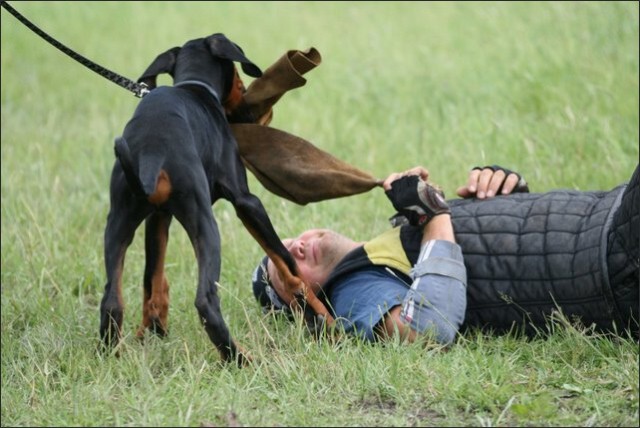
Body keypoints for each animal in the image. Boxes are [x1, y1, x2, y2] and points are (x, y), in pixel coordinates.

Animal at [101, 33, 330, 366]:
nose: (245, 93)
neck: (195, 85)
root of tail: (151, 151)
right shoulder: (248, 202)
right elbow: (288, 266)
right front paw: (324, 315)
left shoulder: (158, 218)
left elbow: (152, 279)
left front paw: (154, 331)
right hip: (205, 226)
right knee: (205, 300)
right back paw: (239, 358)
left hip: (118, 221)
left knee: (111, 299)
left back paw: (110, 354)